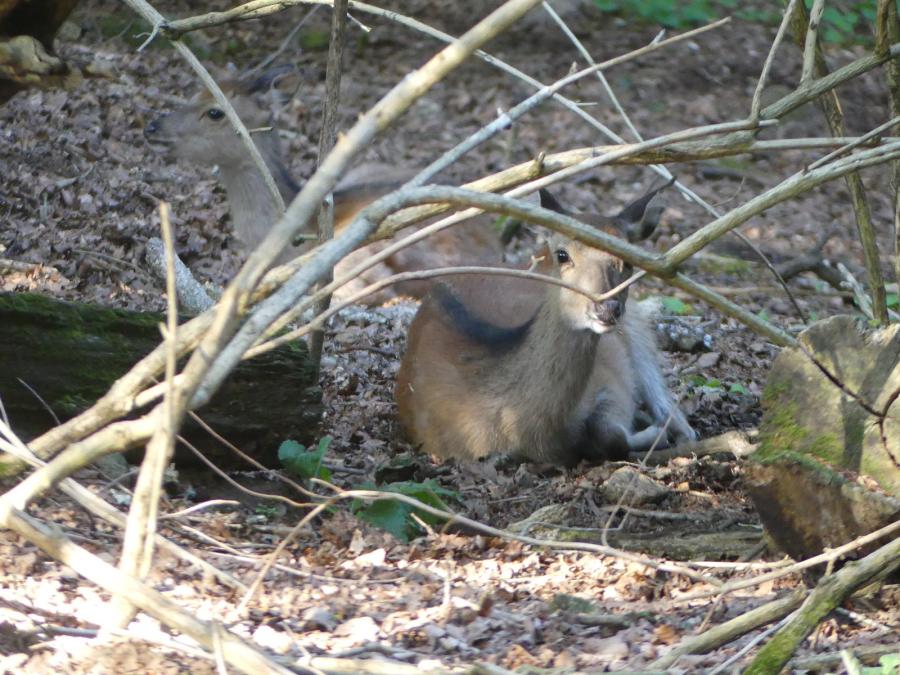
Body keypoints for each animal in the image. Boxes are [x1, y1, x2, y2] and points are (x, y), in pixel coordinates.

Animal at [395, 184, 696, 465]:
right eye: (562, 254)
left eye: (629, 260)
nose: (607, 308)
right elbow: (610, 437)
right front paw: (651, 432)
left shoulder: (613, 378)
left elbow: (611, 435)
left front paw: (655, 432)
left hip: (634, 323)